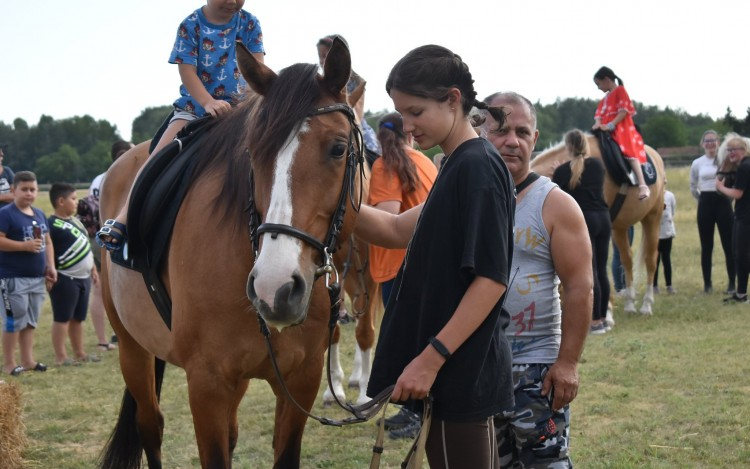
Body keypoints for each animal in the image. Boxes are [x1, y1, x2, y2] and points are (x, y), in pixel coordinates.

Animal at [98, 37, 368, 468]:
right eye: (252, 152)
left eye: (339, 149)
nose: (274, 288)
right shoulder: (206, 383)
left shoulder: (302, 380)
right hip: (132, 348)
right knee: (150, 427)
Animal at [532, 133, 668, 314]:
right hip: (620, 228)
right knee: (627, 259)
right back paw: (629, 303)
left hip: (652, 217)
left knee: (651, 260)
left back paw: (646, 305)